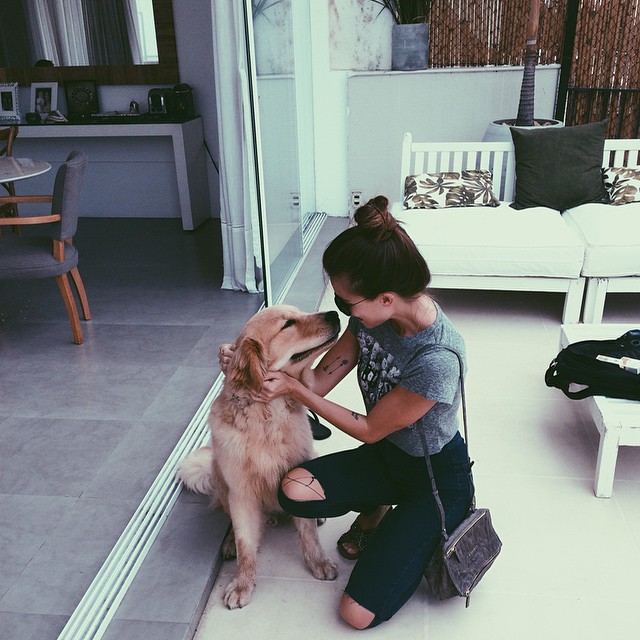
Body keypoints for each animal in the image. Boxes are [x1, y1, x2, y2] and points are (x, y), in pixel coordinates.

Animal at [176, 304, 340, 608]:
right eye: (287, 324)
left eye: (299, 312)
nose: (335, 314)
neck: (266, 416)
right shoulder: (240, 491)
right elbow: (245, 543)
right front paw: (243, 583)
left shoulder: (298, 475)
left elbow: (308, 533)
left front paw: (319, 562)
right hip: (220, 476)